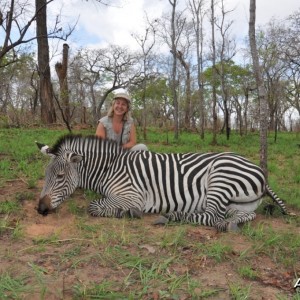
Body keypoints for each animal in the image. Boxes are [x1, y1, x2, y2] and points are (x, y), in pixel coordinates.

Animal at [36, 134, 288, 232]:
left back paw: (169, 216)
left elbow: (94, 206)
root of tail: (260, 171)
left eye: (60, 177)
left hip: (219, 178)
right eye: (46, 175)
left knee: (210, 216)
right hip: (240, 205)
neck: (111, 168)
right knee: (239, 216)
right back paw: (231, 224)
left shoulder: (133, 195)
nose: (40, 209)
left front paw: (125, 213)